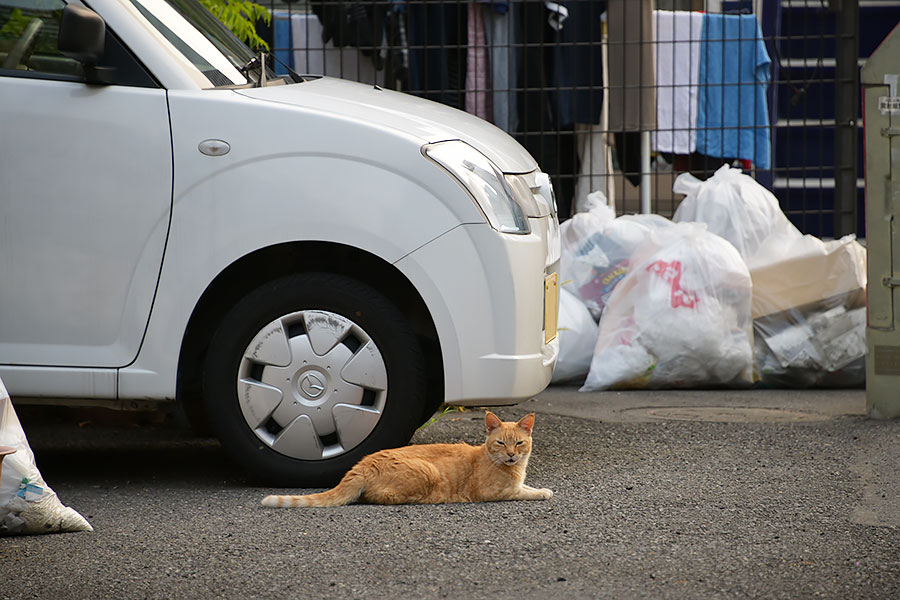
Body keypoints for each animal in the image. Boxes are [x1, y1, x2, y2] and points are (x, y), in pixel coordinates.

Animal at [260, 412, 552, 506]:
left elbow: (525, 486)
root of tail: (363, 464)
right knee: (376, 496)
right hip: (427, 472)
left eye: (519, 443)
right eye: (501, 443)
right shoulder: (495, 492)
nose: (511, 454)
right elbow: (524, 492)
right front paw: (543, 492)